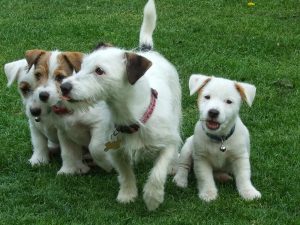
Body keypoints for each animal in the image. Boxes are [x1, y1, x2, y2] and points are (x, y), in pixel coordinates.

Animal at [59, 0, 180, 211]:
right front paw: (127, 195)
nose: (64, 87)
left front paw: (152, 197)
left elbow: (158, 171)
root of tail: (145, 50)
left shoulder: (168, 143)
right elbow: (125, 174)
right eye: (82, 66)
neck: (134, 117)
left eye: (99, 71)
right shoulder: (115, 151)